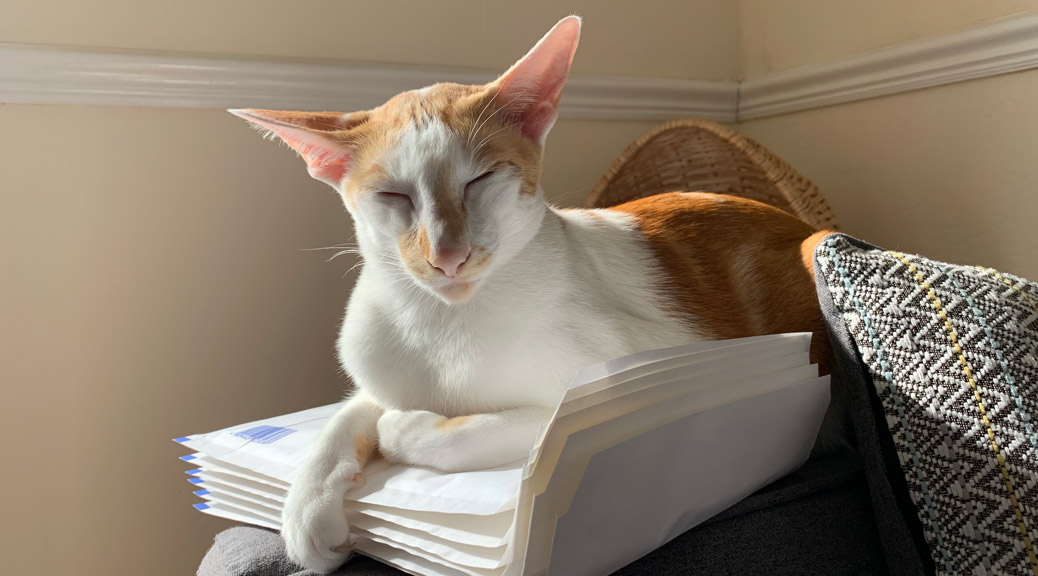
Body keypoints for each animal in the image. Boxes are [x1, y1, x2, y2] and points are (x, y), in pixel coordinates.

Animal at [229, 15, 834, 572]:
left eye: (479, 179)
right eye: (393, 195)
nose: (447, 255)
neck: (444, 324)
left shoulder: (632, 385)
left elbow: (497, 427)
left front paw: (404, 428)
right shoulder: (382, 367)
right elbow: (347, 410)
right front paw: (308, 506)